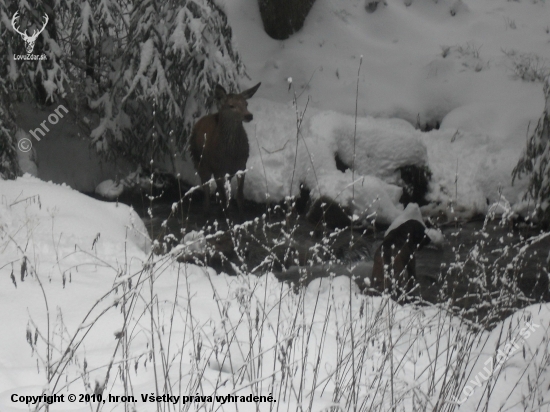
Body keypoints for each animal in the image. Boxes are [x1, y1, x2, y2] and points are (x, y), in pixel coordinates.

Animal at [191, 81, 262, 220]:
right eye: (231, 105)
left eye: (246, 104)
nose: (248, 115)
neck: (231, 154)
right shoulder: (217, 168)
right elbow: (223, 195)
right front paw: (227, 218)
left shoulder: (241, 165)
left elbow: (239, 194)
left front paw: (242, 216)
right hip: (199, 162)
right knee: (206, 188)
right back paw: (206, 212)